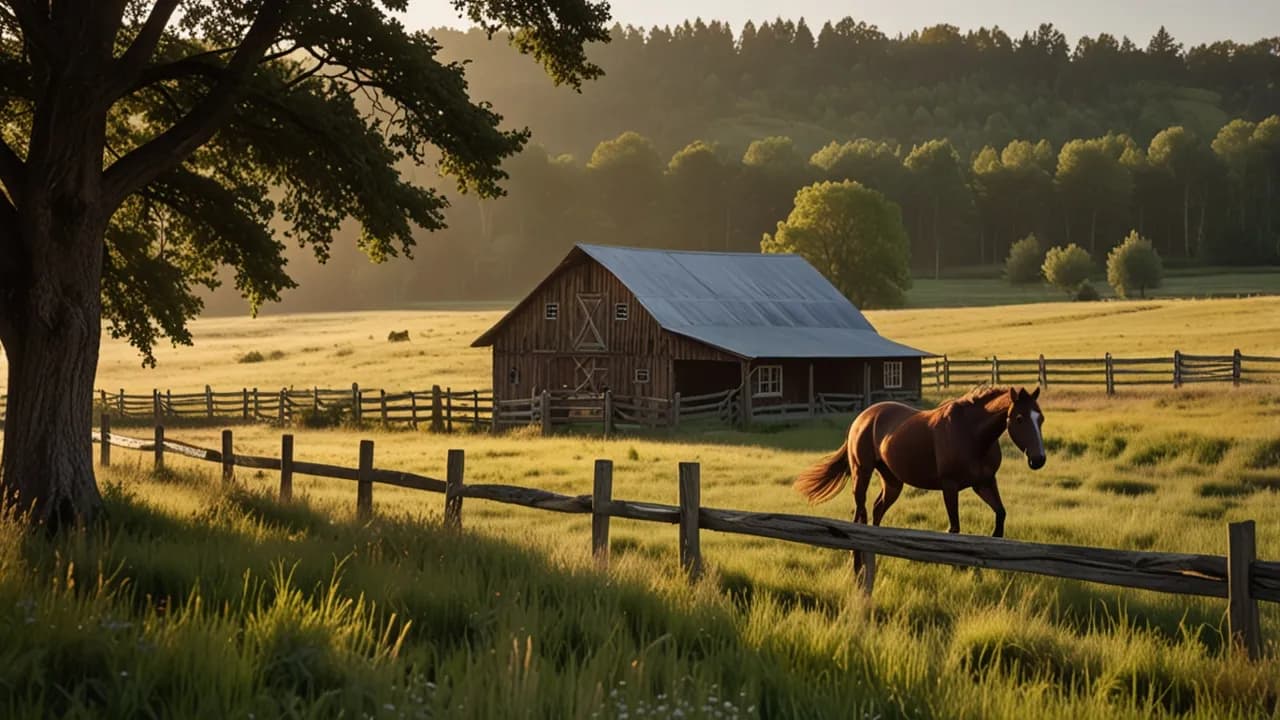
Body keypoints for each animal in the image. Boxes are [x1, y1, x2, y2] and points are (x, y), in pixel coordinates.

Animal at [795, 386, 1046, 562]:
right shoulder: (950, 486)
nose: (1039, 459)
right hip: (862, 472)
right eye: (1019, 418)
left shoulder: (984, 483)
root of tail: (861, 418)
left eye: (1040, 418)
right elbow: (954, 529)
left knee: (877, 510)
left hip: (893, 481)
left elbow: (1001, 514)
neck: (971, 435)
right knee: (860, 514)